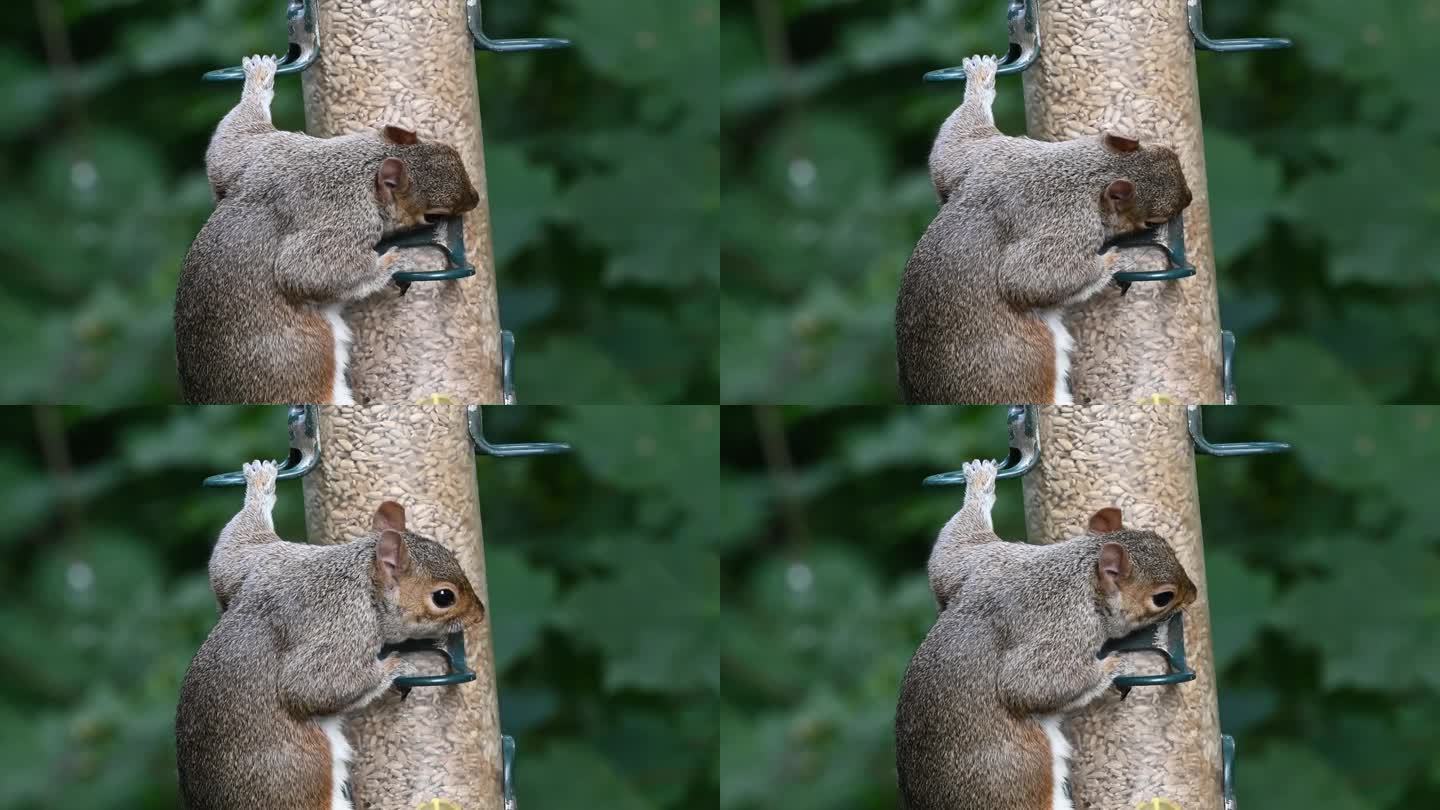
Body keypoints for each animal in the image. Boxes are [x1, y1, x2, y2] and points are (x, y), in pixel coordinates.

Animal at [173, 54, 478, 403]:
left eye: (449, 150)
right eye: (432, 217)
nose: (475, 200)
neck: (353, 167)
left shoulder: (266, 152)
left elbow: (230, 145)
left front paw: (259, 80)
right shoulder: (344, 220)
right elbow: (302, 271)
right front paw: (390, 263)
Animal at [175, 461, 483, 807]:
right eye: (444, 597)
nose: (480, 614)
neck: (359, 580)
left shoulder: (266, 564)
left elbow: (231, 556)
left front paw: (260, 486)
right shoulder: (343, 628)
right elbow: (310, 687)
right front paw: (396, 666)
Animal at [892, 458, 1198, 801]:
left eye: (1165, 544)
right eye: (1163, 597)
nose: (1195, 593)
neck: (1074, 574)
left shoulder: (987, 563)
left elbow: (951, 552)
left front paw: (980, 484)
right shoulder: (1064, 628)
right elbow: (1027, 684)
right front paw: (1118, 665)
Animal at [898, 54, 1192, 403]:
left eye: (1166, 151)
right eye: (1152, 223)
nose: (1189, 197)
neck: (1082, 173)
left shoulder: (989, 156)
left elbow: (952, 148)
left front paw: (980, 80)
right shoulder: (1068, 225)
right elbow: (1027, 279)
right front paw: (1115, 260)